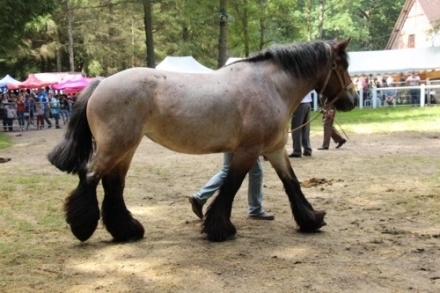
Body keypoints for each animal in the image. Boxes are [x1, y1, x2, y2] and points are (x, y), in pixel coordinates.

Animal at [48, 37, 360, 242]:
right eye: (341, 66)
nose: (353, 100)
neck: (270, 86)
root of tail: (102, 83)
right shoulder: (248, 151)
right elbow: (231, 186)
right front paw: (221, 229)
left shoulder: (275, 150)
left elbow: (291, 184)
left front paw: (311, 219)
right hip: (116, 146)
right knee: (90, 177)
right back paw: (83, 227)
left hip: (127, 148)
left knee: (114, 185)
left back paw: (126, 231)